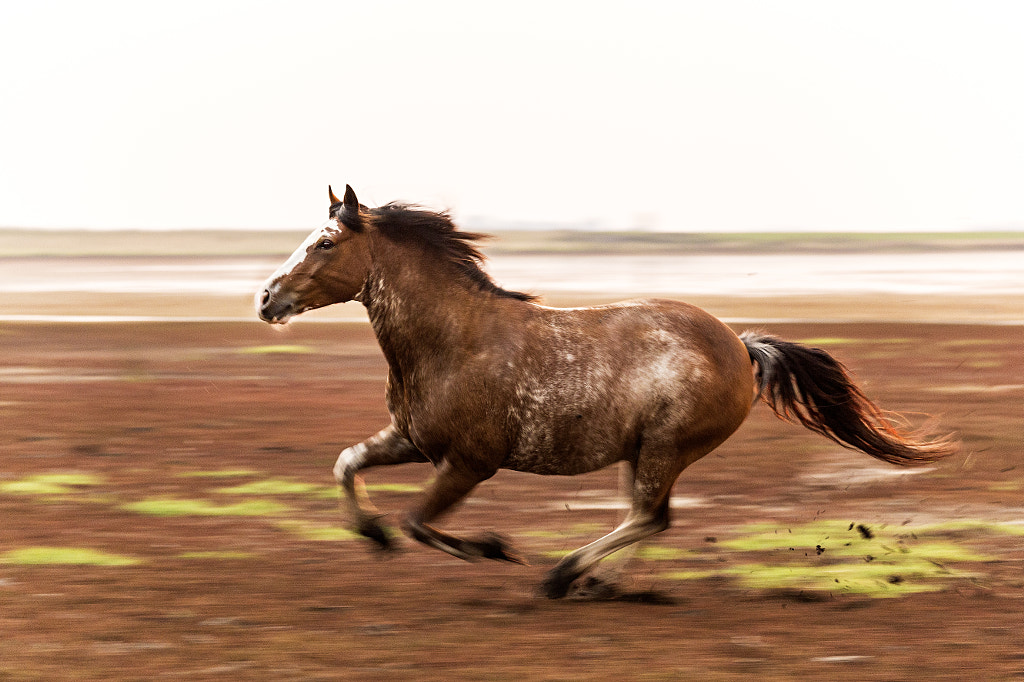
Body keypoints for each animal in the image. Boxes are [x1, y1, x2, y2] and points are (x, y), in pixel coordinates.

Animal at [258, 186, 958, 593]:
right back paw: (595, 582)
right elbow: (347, 464)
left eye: (325, 242)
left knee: (650, 516)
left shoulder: (470, 462)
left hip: (664, 448)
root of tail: (741, 346)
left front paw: (496, 550)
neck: (453, 340)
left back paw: (564, 575)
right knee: (646, 518)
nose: (266, 298)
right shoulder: (412, 440)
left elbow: (420, 523)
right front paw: (371, 534)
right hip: (642, 452)